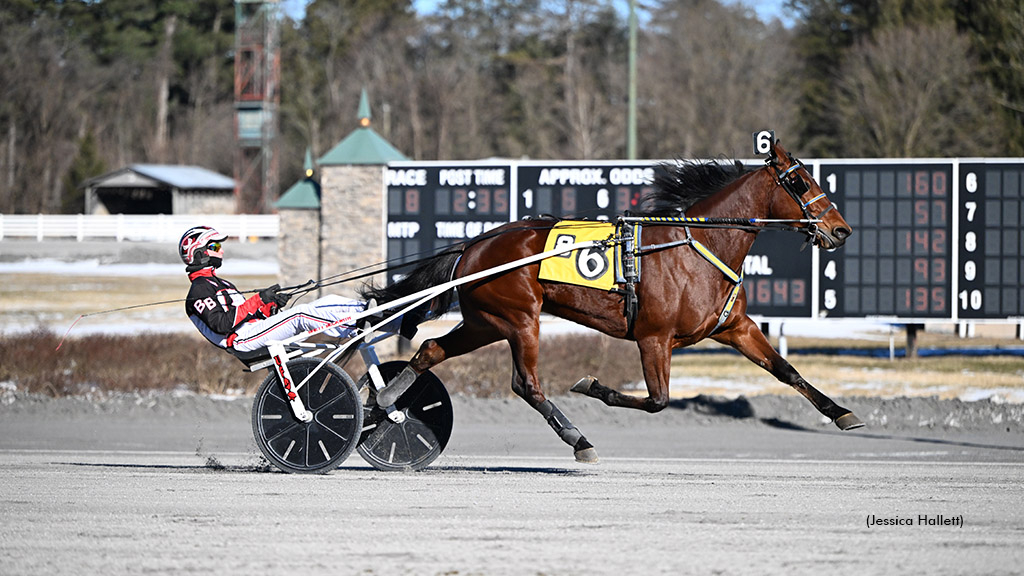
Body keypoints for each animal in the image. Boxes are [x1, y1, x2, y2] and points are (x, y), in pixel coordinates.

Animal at [364, 139, 860, 461]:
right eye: (800, 181)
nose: (840, 229)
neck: (697, 245)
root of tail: (474, 245)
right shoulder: (653, 338)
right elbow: (658, 400)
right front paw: (592, 386)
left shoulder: (734, 328)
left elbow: (786, 370)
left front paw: (842, 414)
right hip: (520, 319)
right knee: (526, 384)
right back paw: (578, 440)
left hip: (485, 321)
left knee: (431, 349)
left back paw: (386, 396)